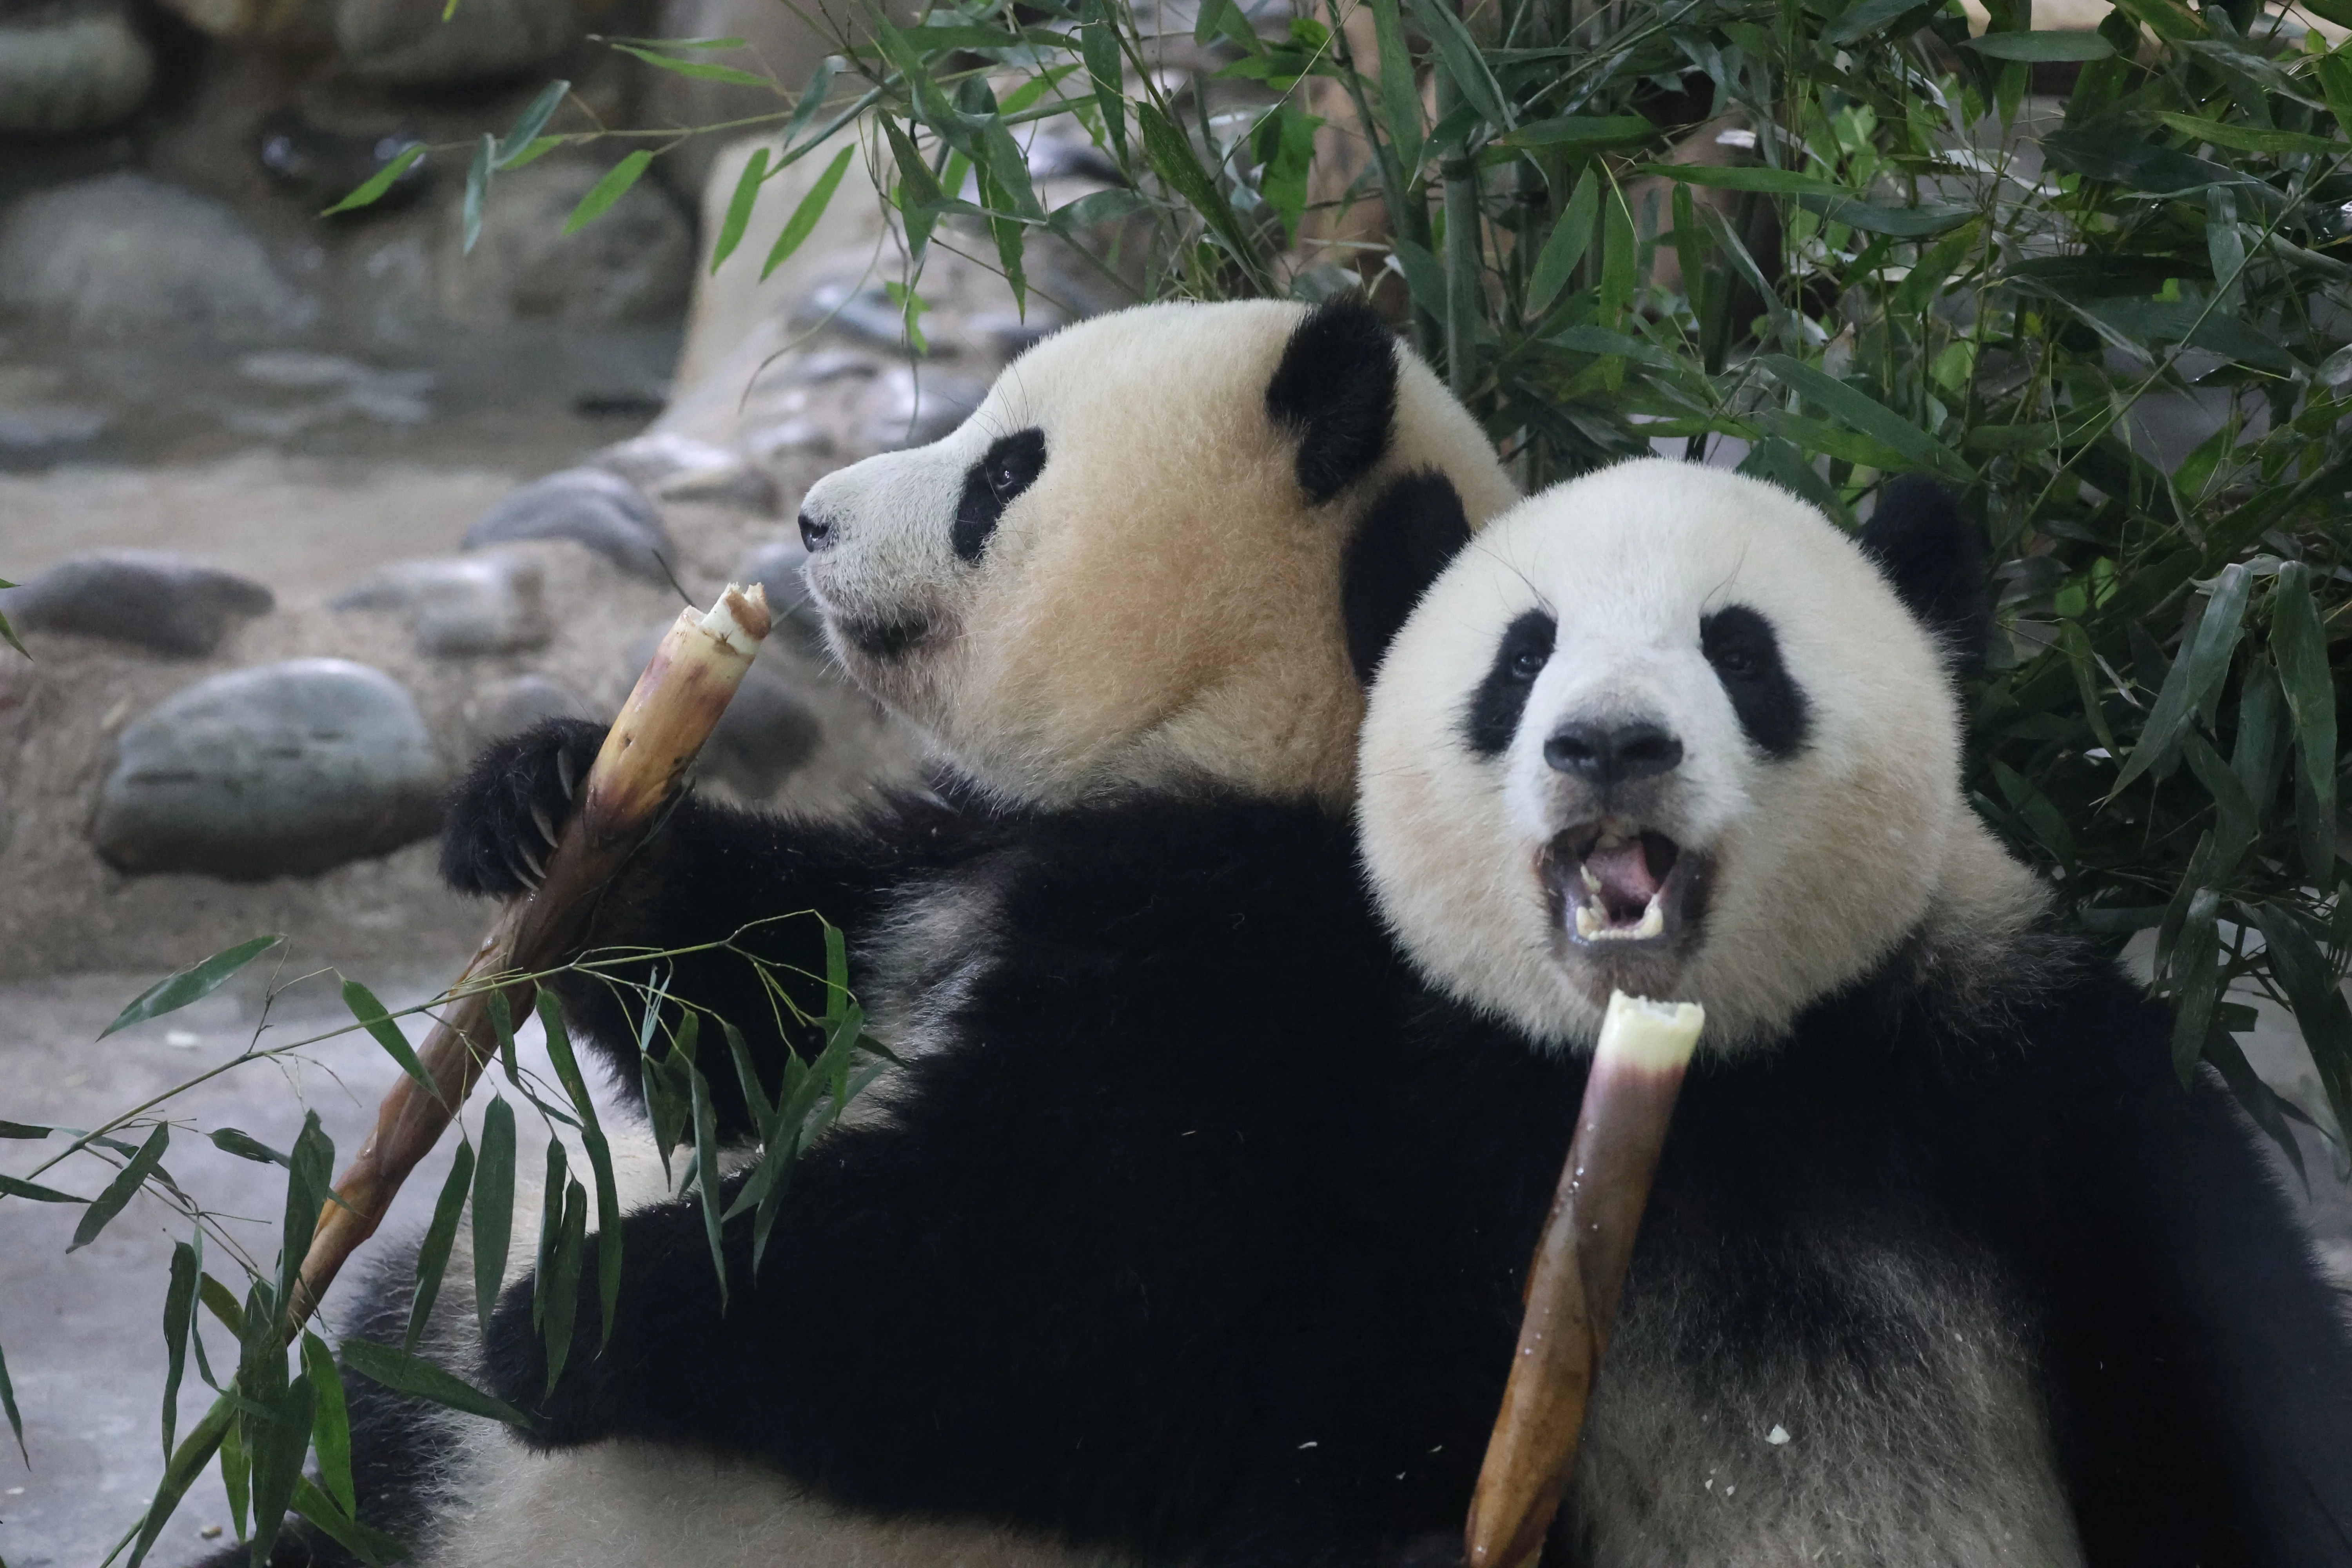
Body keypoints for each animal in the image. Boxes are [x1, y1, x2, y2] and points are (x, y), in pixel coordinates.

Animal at [237, 294, 1516, 1568]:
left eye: (1004, 472)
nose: (810, 521)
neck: (1267, 731)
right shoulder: (951, 854)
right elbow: (762, 1009)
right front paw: (546, 793)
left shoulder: (1281, 973)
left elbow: (1052, 1302)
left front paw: (578, 1307)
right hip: (441, 1311)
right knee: (385, 1380)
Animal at [430, 459, 2348, 1567]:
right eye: (1521, 655)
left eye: (1740, 648)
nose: (1610, 743)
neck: (1708, 1084)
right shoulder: (1409, 1126)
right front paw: (562, 807)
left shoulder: (2023, 1088)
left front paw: (585, 1310)